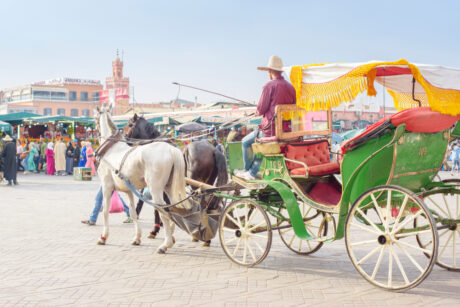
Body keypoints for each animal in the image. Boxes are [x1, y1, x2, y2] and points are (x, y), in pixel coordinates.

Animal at [95, 104, 190, 254]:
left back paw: (166, 243)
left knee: (163, 212)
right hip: (169, 187)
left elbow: (105, 211)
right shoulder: (129, 190)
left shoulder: (106, 186)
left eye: (129, 124)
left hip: (156, 189)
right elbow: (133, 212)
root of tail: (171, 150)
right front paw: (137, 237)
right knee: (173, 208)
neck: (112, 149)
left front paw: (103, 236)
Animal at [126, 114, 228, 244]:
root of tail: (214, 149)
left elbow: (158, 206)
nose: (125, 137)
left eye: (130, 124)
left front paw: (156, 230)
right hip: (206, 183)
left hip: (196, 184)